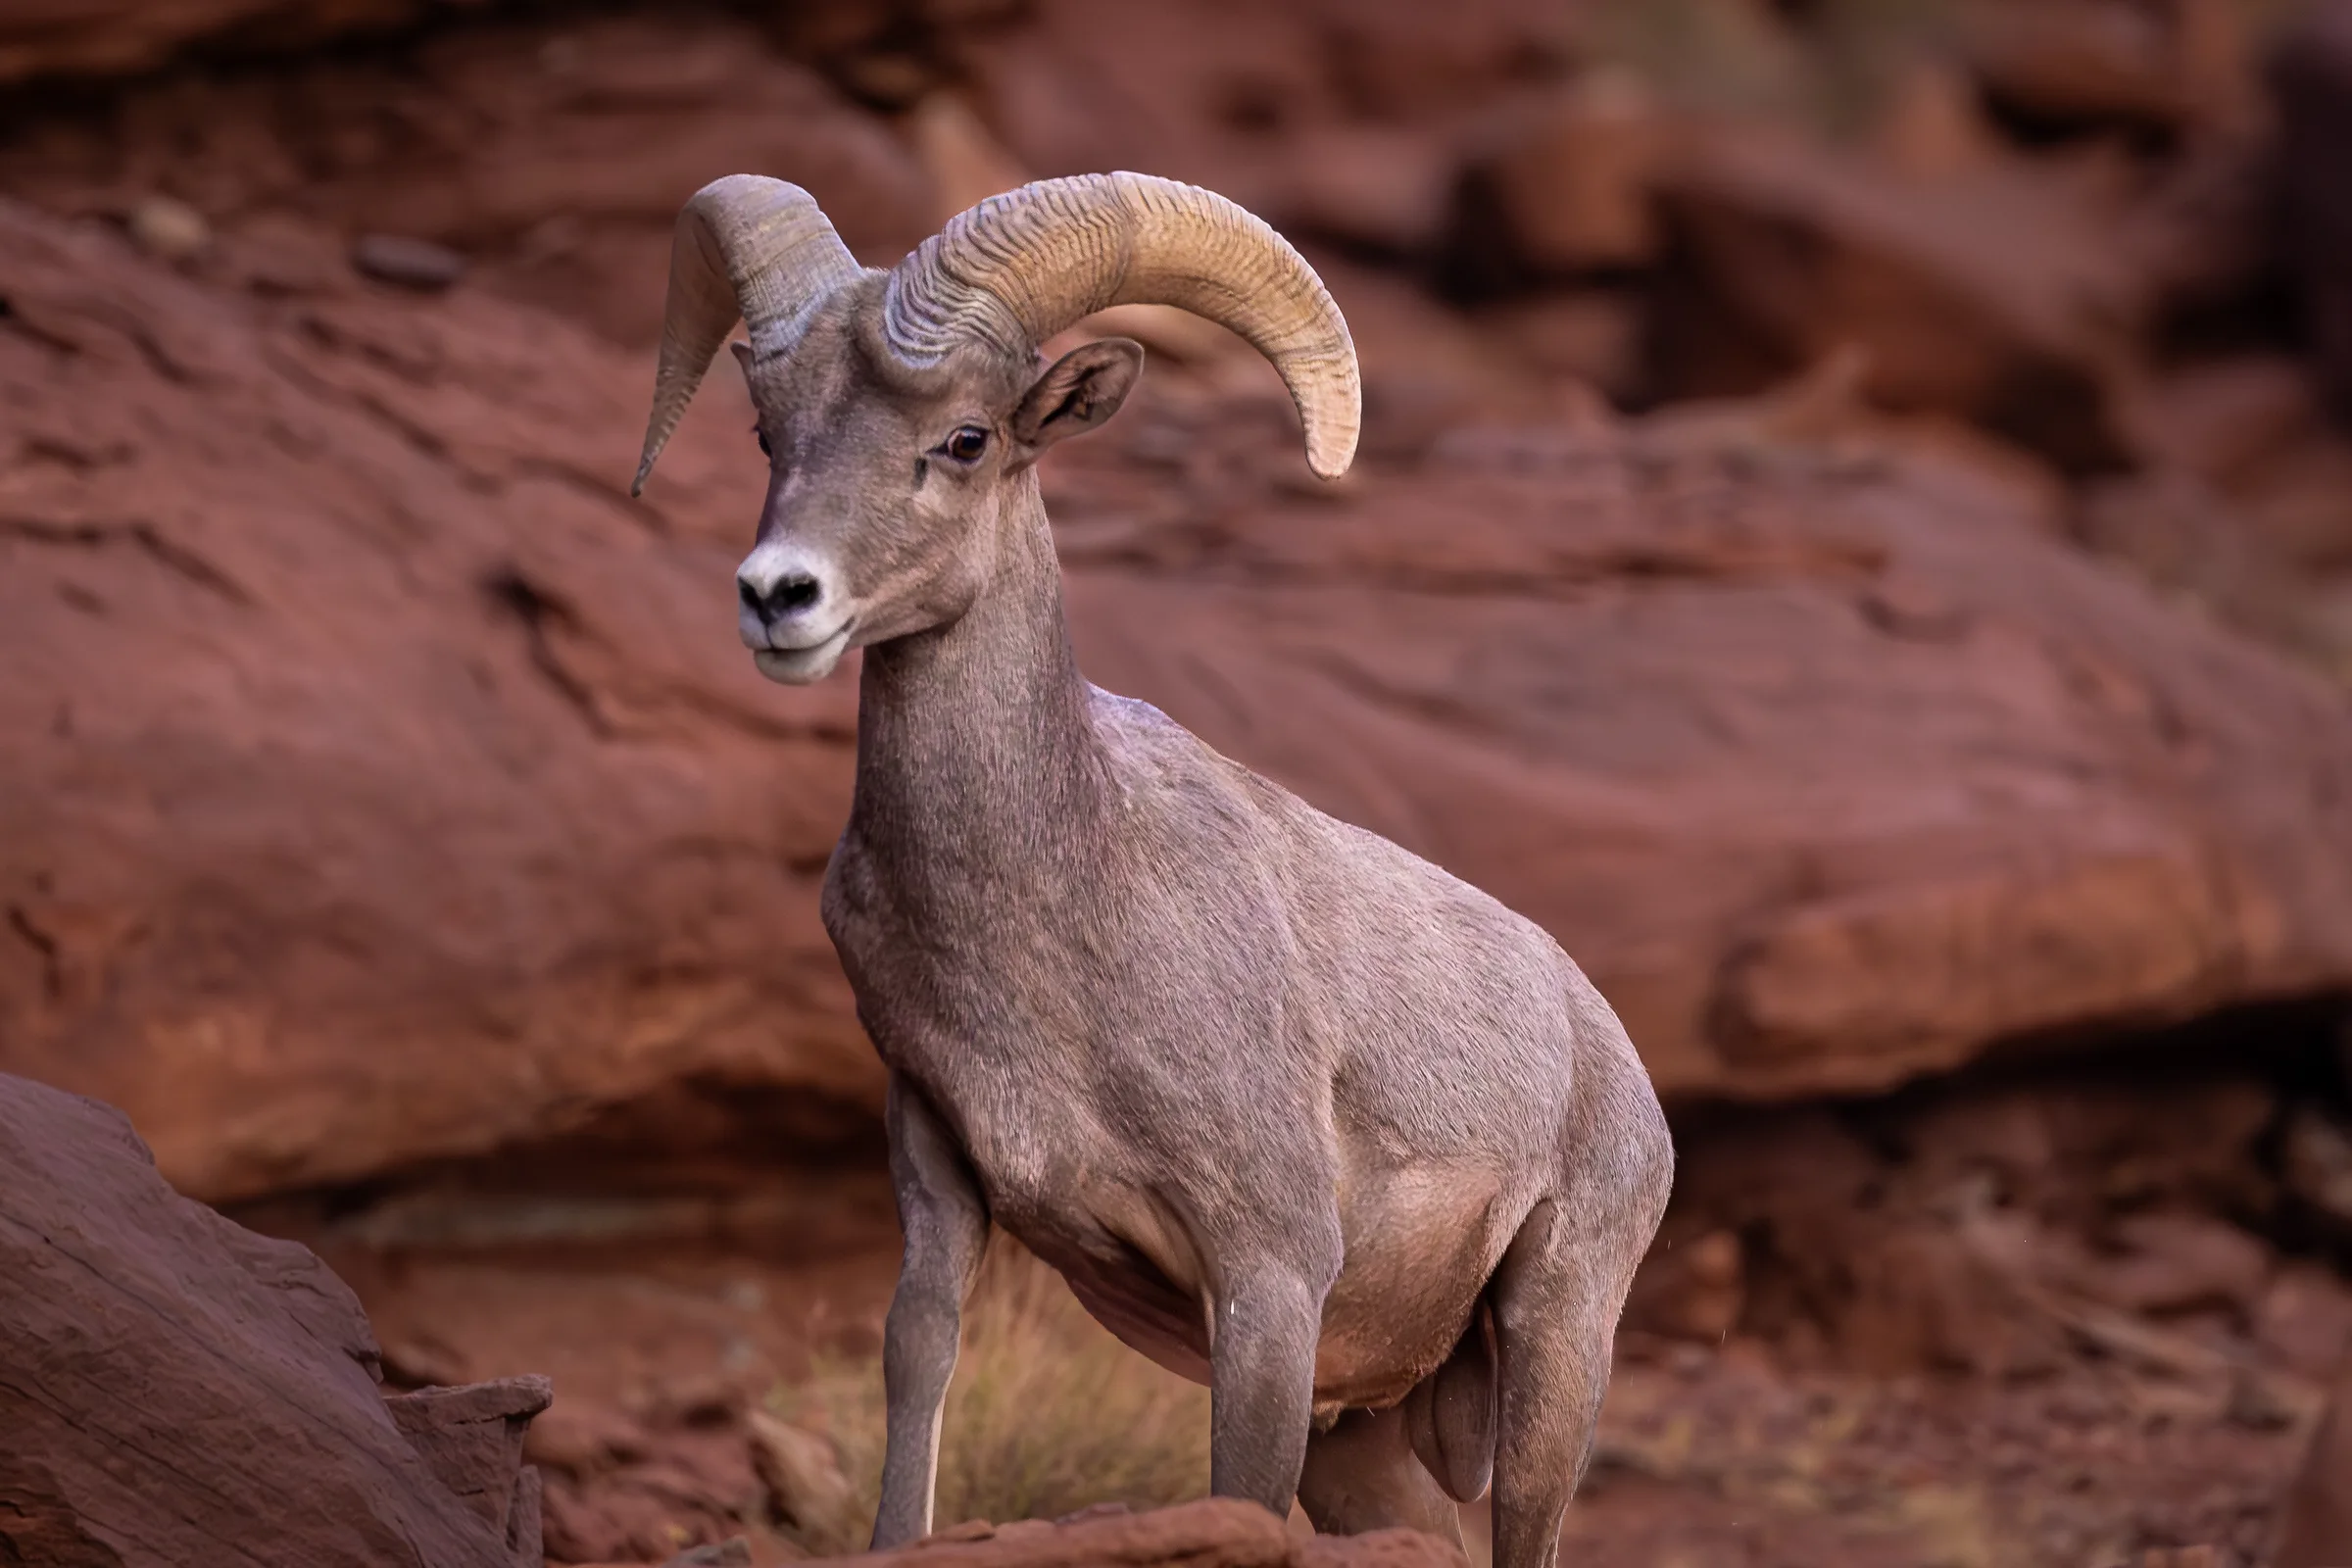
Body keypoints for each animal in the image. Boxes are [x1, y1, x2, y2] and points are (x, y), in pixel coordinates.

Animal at [630, 171, 1675, 1568]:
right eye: (764, 433)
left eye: (967, 440)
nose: (776, 597)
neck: (1065, 908)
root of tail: (1605, 1045)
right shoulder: (939, 1179)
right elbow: (918, 1382)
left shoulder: (1269, 1276)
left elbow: (1238, 1490)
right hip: (1367, 1438)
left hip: (1556, 1345)